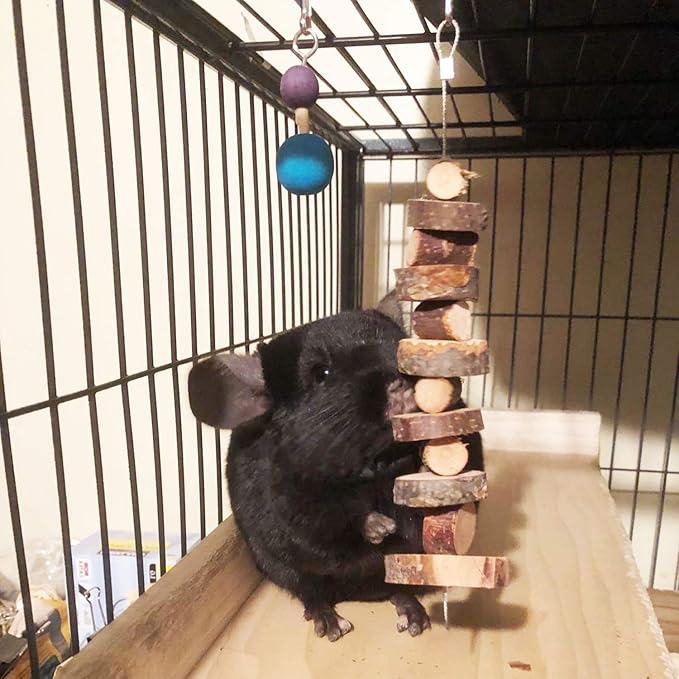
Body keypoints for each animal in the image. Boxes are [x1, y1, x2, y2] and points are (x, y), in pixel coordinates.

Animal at [188, 307, 483, 641]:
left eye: (399, 343)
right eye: (321, 374)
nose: (400, 381)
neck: (376, 464)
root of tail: (360, 593)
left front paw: (426, 468)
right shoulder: (291, 503)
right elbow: (329, 521)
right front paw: (380, 527)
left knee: (398, 587)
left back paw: (414, 616)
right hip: (278, 567)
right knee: (309, 591)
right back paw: (330, 622)